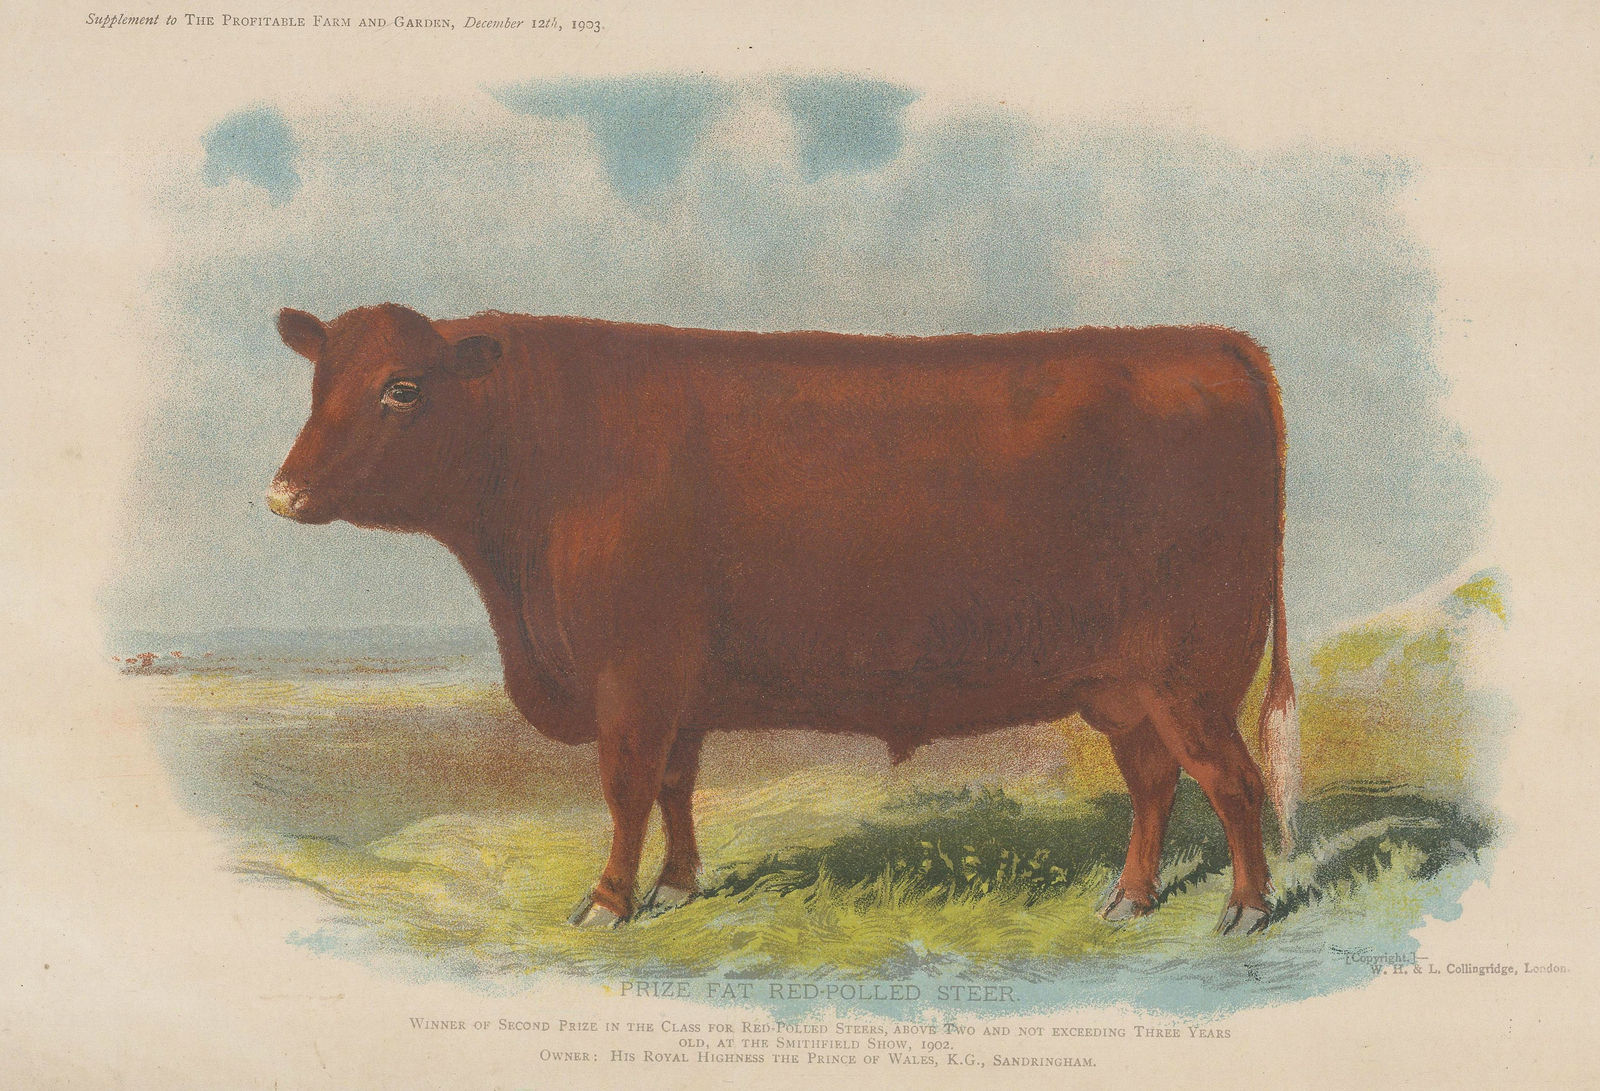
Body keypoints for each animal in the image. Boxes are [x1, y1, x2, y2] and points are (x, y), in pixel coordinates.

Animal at [267, 304, 1300, 935]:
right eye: (318, 385)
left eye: (402, 386)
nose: (282, 492)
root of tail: (1213, 343)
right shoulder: (674, 688)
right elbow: (675, 785)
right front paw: (677, 886)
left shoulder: (630, 677)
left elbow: (625, 787)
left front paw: (607, 902)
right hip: (1124, 686)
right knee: (1156, 780)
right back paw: (1128, 898)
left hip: (1190, 673)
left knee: (1233, 779)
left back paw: (1247, 909)